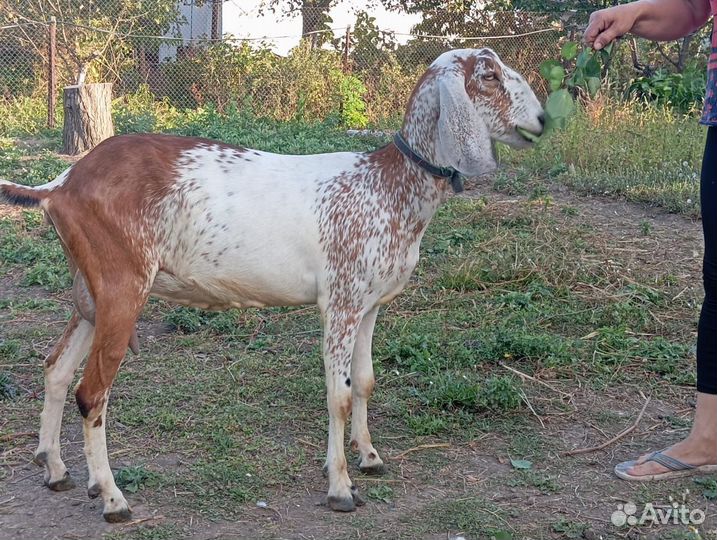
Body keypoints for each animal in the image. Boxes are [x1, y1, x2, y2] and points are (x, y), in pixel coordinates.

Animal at [0, 48, 544, 522]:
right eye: (488, 76)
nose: (540, 120)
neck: (388, 185)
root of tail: (62, 184)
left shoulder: (370, 304)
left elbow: (366, 381)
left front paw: (369, 456)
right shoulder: (340, 301)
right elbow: (339, 394)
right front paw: (340, 486)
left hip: (91, 294)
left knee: (55, 368)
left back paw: (55, 469)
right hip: (121, 287)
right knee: (92, 391)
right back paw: (113, 498)